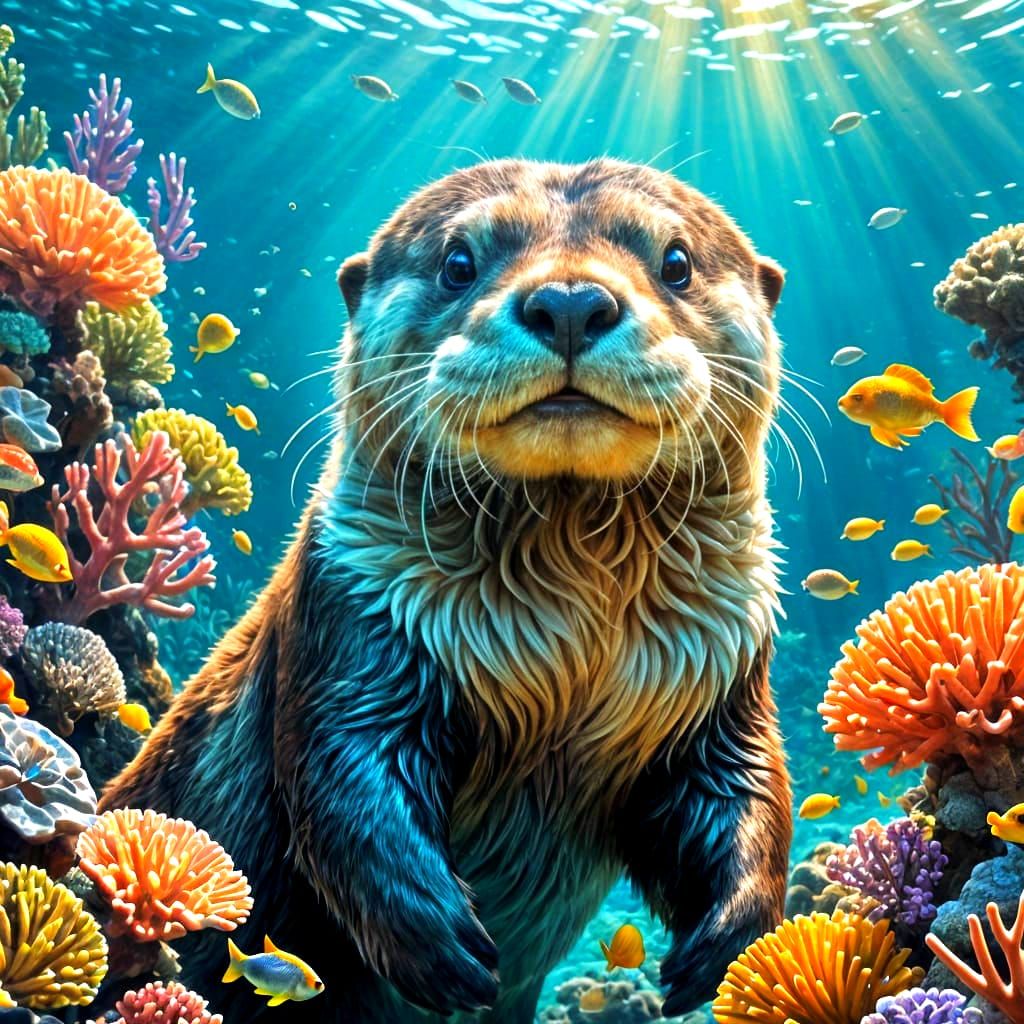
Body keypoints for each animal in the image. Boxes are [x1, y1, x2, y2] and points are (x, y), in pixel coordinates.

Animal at [103, 158, 792, 1023]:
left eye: (676, 262)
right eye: (458, 262)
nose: (571, 301)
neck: (567, 653)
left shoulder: (723, 656)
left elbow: (745, 784)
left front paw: (724, 943)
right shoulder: (356, 611)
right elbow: (343, 780)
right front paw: (442, 947)